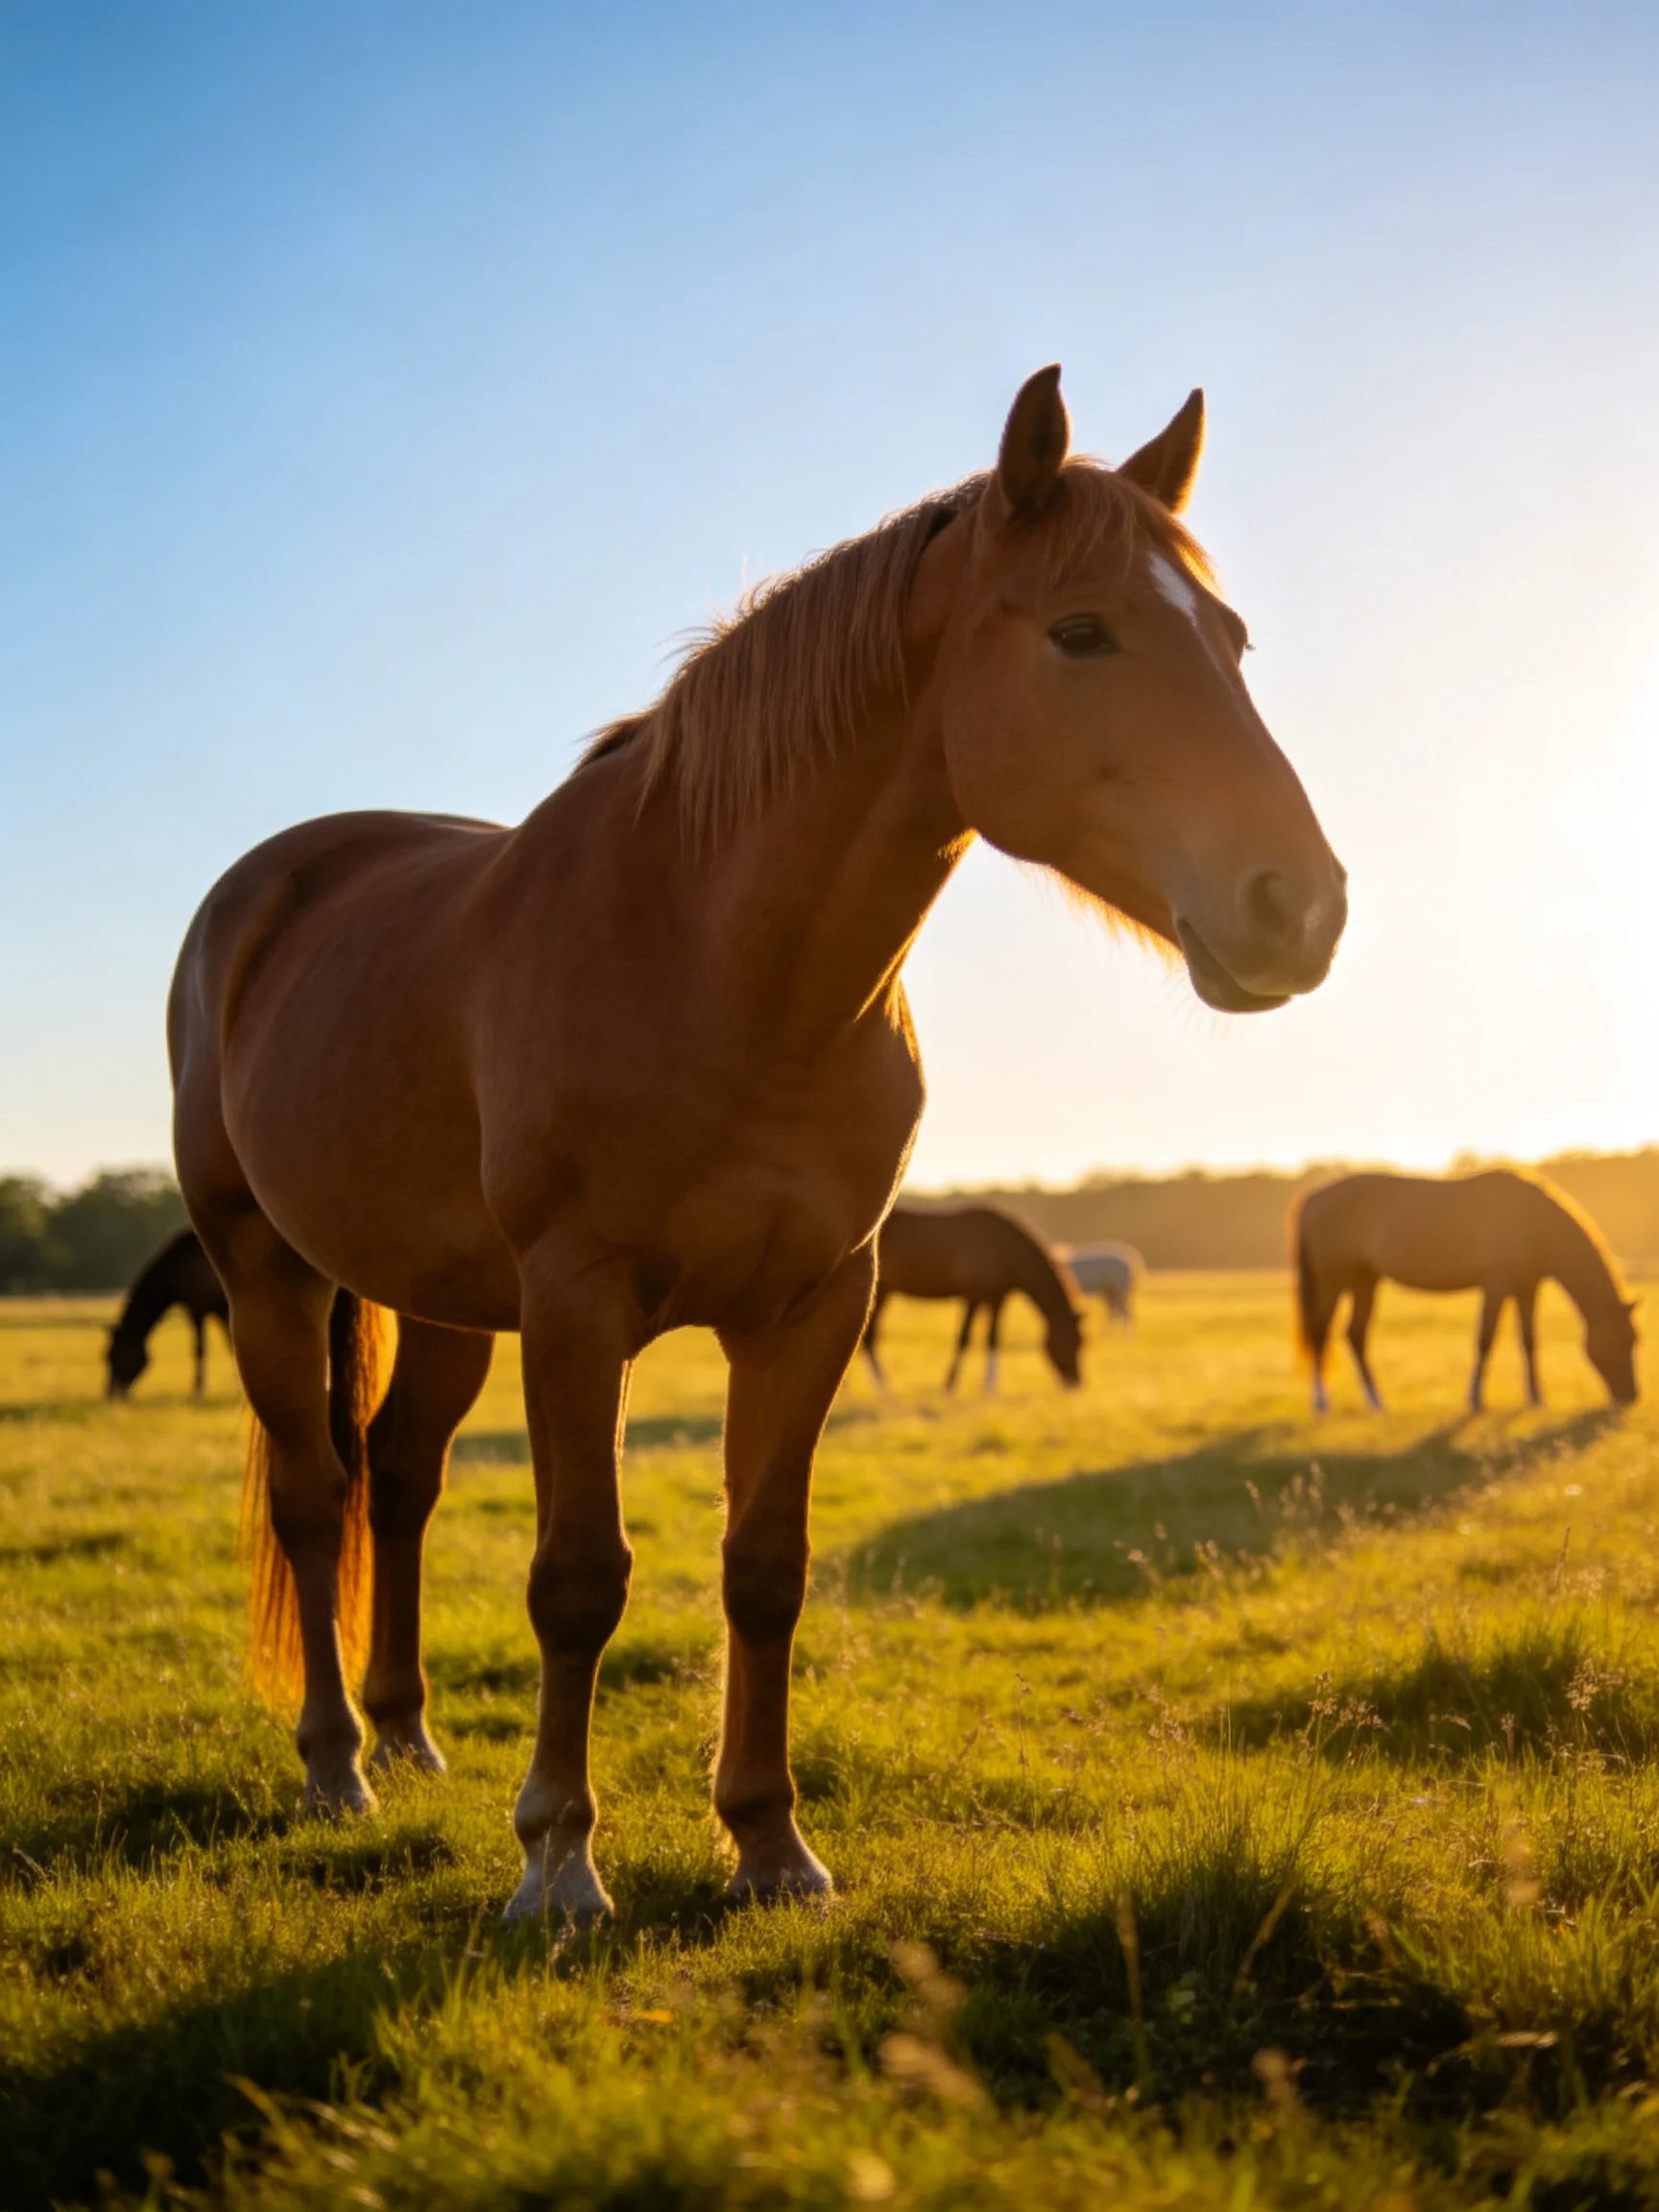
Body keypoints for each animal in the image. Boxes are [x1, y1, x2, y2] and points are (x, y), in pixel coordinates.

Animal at [106, 1228, 231, 1399]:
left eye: (115, 1354)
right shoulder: (218, 1311)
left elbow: (200, 1349)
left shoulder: (199, 1310)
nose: (111, 1394)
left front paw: (199, 1389)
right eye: (106, 1356)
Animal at [861, 1205, 1085, 1390]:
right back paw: (884, 1389)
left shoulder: (997, 1298)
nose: (1076, 1383)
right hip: (879, 1293)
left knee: (869, 1338)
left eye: (1082, 1342)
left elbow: (993, 1338)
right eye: (1072, 1341)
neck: (1007, 1249)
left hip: (884, 1293)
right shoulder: (973, 1296)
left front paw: (990, 1386)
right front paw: (950, 1384)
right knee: (869, 1338)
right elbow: (964, 1338)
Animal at [1293, 1169, 1638, 1414]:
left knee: (1355, 1335)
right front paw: (1475, 1399)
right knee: (1321, 1333)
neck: (1532, 1220)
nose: (1631, 1396)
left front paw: (1536, 1398)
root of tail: (1315, 1198)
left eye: (1635, 1340)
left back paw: (1376, 1402)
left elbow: (1529, 1341)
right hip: (1334, 1280)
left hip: (1364, 1280)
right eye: (1621, 1341)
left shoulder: (1527, 1288)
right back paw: (1321, 1403)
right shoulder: (1497, 1284)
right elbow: (1485, 1339)